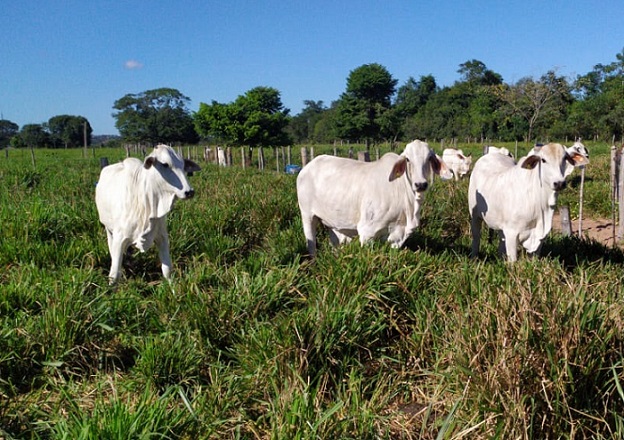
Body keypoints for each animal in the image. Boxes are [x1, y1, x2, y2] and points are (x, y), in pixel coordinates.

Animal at [95, 144, 200, 282]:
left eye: (183, 166)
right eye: (165, 164)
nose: (189, 192)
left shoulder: (162, 237)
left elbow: (167, 270)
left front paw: (172, 287)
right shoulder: (119, 238)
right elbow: (114, 275)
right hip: (108, 230)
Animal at [294, 139, 450, 256]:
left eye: (429, 158)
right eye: (407, 159)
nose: (420, 184)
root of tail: (307, 167)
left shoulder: (396, 236)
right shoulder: (367, 231)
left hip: (333, 225)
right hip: (307, 215)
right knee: (311, 246)